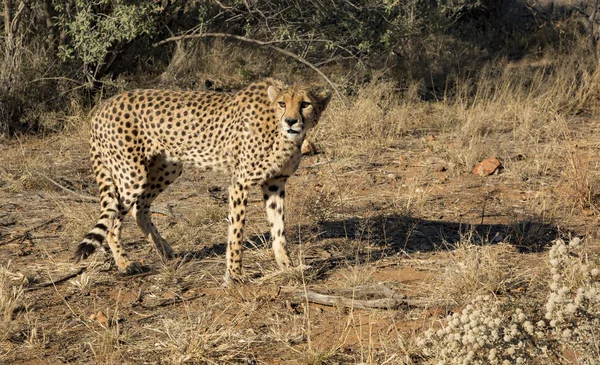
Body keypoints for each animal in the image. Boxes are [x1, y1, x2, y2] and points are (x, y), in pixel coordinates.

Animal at [75, 79, 332, 284]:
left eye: (305, 104)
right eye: (282, 104)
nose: (291, 121)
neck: (279, 131)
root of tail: (102, 106)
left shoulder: (275, 182)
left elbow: (279, 229)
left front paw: (288, 266)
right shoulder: (240, 183)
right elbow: (236, 232)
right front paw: (235, 274)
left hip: (169, 167)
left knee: (139, 209)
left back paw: (165, 251)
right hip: (131, 175)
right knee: (114, 219)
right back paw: (124, 264)